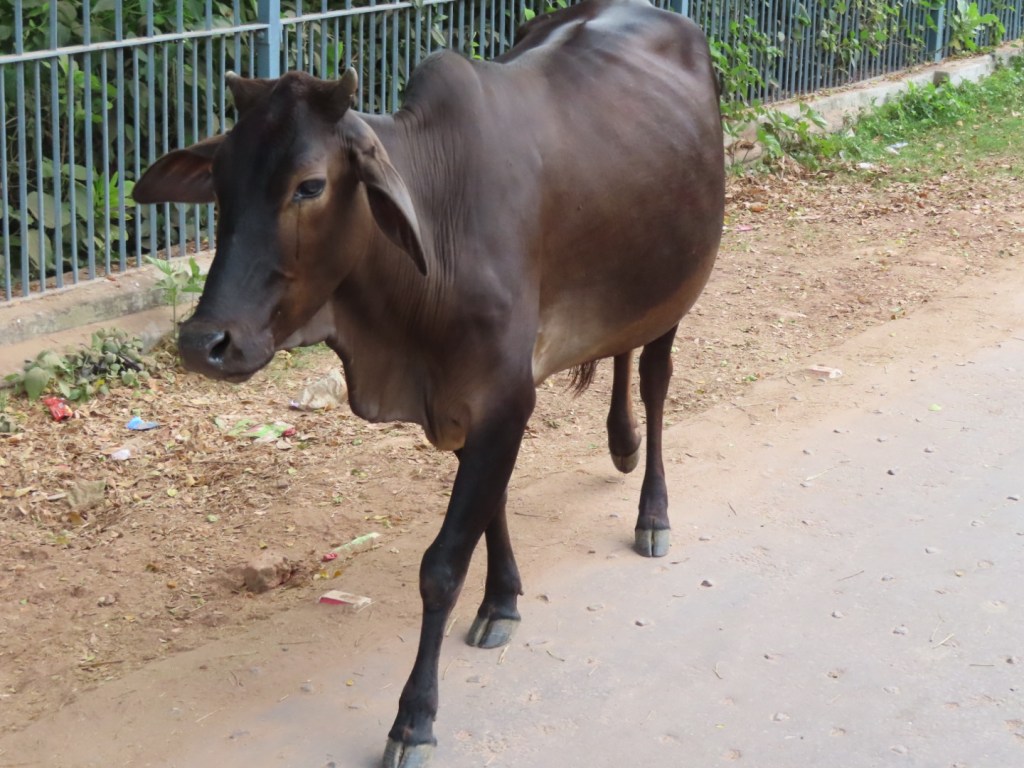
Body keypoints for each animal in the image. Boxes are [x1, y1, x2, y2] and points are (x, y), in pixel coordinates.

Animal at [133, 0, 724, 764]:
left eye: (310, 185)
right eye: (222, 185)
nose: (205, 342)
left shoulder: (505, 398)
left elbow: (442, 565)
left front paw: (414, 717)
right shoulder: (468, 402)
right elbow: (490, 512)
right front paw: (503, 600)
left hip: (679, 287)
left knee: (654, 382)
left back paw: (652, 510)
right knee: (622, 351)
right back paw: (619, 446)